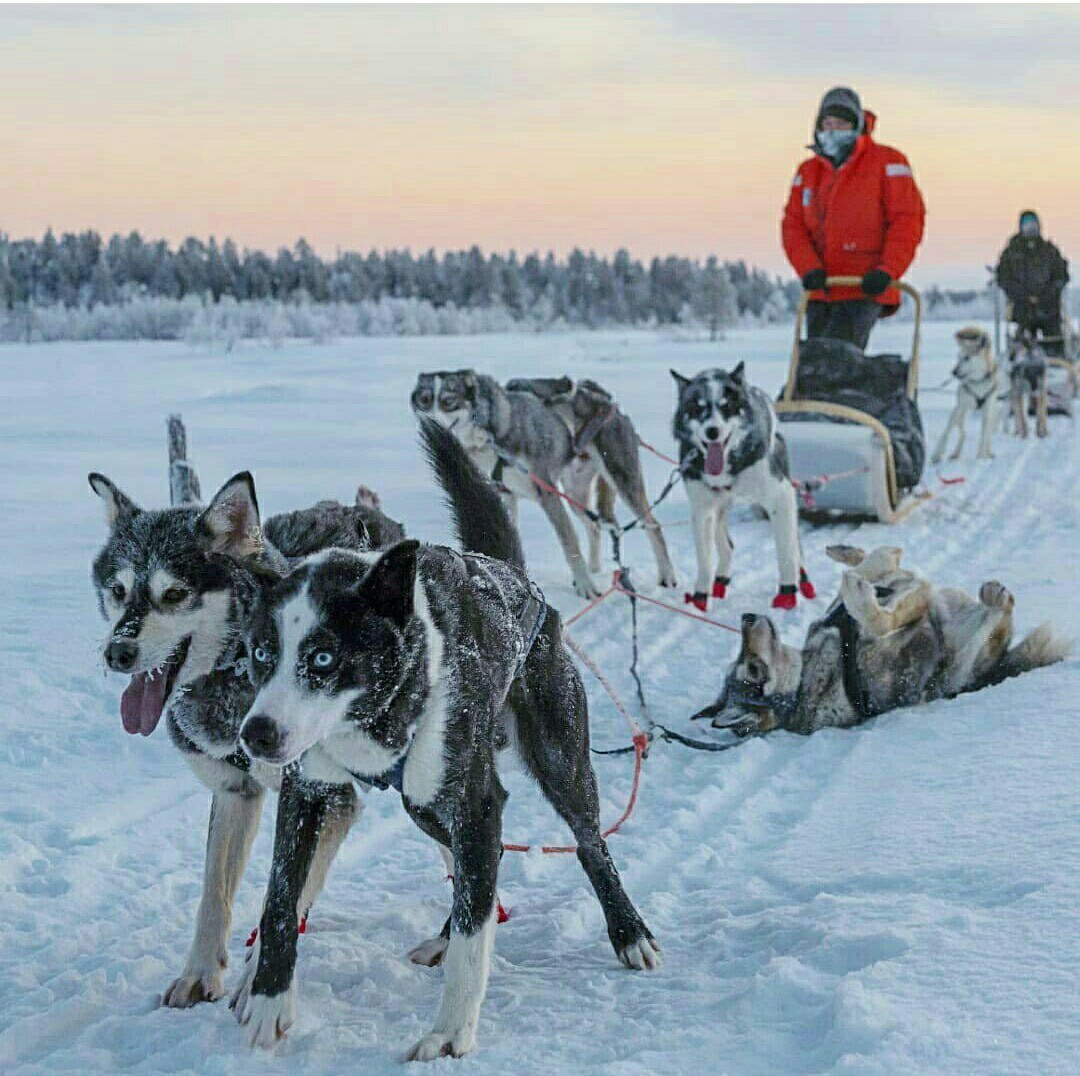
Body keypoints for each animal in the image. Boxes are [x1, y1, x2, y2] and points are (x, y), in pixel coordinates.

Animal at [230, 421, 656, 1058]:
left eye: (323, 657)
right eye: (261, 653)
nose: (256, 735)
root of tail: (512, 576)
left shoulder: (477, 805)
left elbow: (475, 936)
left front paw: (452, 1031)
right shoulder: (308, 793)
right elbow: (281, 897)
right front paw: (268, 998)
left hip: (556, 763)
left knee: (587, 844)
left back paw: (629, 930)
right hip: (426, 804)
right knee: (478, 862)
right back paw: (443, 934)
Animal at [503, 371, 673, 583]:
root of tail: (605, 399)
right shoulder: (505, 494)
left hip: (622, 479)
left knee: (653, 525)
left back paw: (667, 576)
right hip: (575, 493)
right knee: (594, 526)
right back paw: (594, 572)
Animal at [669, 362, 812, 609]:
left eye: (726, 406)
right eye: (698, 408)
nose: (712, 431)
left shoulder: (781, 497)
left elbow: (786, 552)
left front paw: (787, 594)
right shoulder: (702, 508)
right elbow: (704, 559)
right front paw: (700, 597)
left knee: (795, 545)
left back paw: (802, 580)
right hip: (719, 507)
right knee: (726, 546)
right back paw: (720, 580)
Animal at [695, 542, 1067, 734]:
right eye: (752, 669)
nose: (746, 618)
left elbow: (865, 587)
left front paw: (866, 565)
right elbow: (876, 618)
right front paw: (865, 590)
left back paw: (852, 552)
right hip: (959, 662)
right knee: (997, 618)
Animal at [933, 326, 997, 464]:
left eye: (967, 358)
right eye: (958, 357)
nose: (953, 371)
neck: (978, 382)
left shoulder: (987, 412)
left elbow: (984, 437)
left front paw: (981, 457)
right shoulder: (960, 407)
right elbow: (946, 433)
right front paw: (937, 455)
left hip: (990, 416)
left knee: (984, 434)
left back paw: (988, 452)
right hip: (960, 414)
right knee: (963, 433)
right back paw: (955, 453)